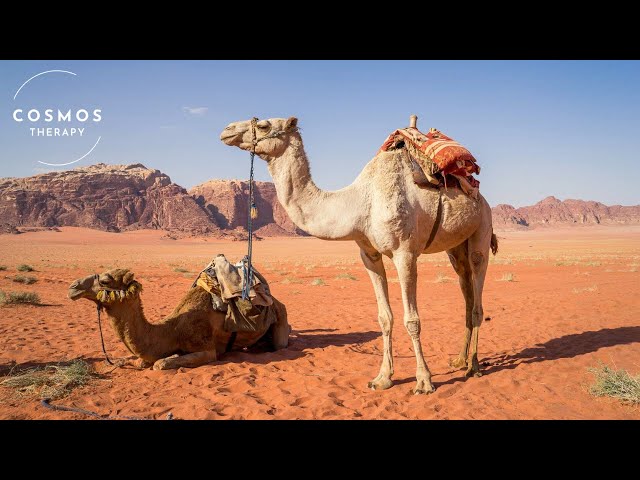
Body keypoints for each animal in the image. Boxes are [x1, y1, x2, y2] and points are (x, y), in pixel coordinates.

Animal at [68, 267, 290, 370]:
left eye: (105, 280)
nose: (73, 287)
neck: (173, 330)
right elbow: (143, 361)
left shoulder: (207, 349)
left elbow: (160, 364)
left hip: (281, 315)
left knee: (280, 343)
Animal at [220, 116, 497, 394]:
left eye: (264, 125)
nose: (227, 130)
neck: (360, 203)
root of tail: (481, 197)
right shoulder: (369, 255)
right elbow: (384, 317)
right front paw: (383, 378)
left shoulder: (405, 253)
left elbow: (412, 320)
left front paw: (423, 381)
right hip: (455, 247)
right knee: (466, 291)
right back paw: (460, 360)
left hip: (481, 229)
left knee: (477, 296)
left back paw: (473, 366)